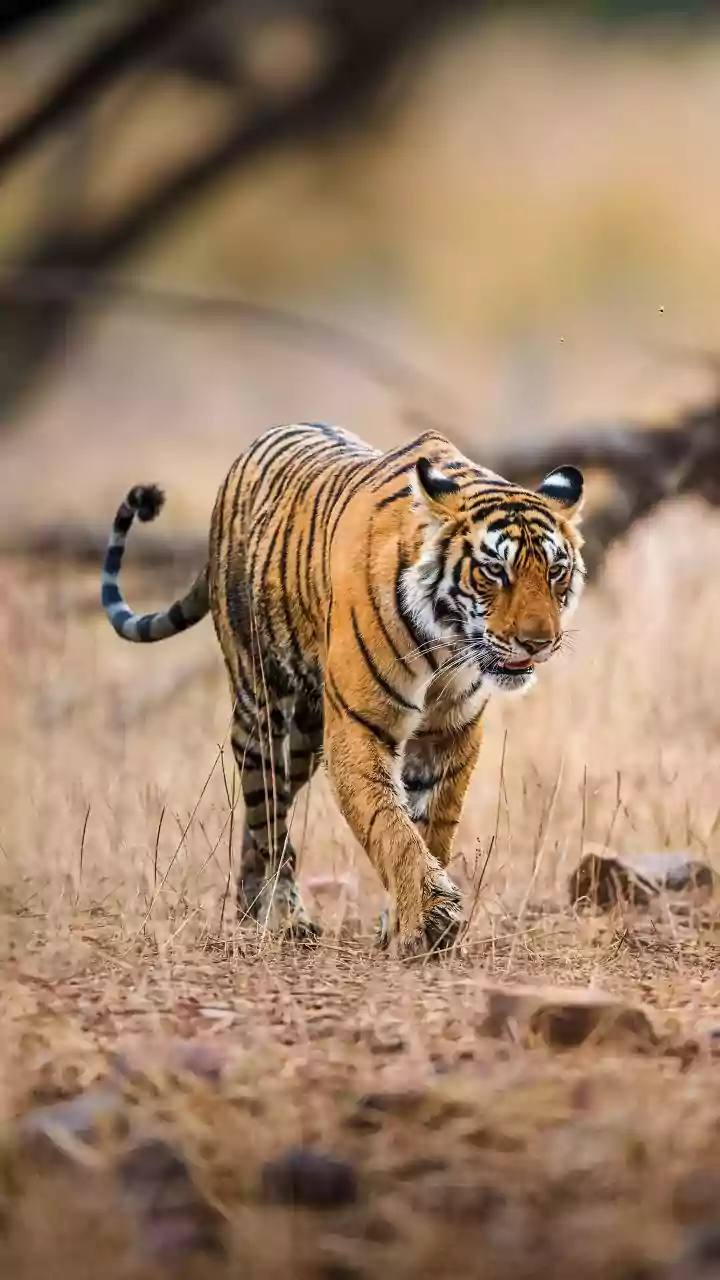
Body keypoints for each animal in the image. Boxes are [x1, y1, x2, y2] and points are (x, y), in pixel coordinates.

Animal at [101, 423, 585, 958]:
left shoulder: (451, 731)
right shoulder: (359, 727)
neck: (447, 641)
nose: (539, 642)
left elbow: (432, 826)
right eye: (495, 570)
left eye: (556, 571)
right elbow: (392, 828)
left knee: (265, 816)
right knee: (268, 817)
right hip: (261, 706)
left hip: (305, 739)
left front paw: (408, 926)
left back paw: (251, 909)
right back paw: (284, 917)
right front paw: (429, 920)